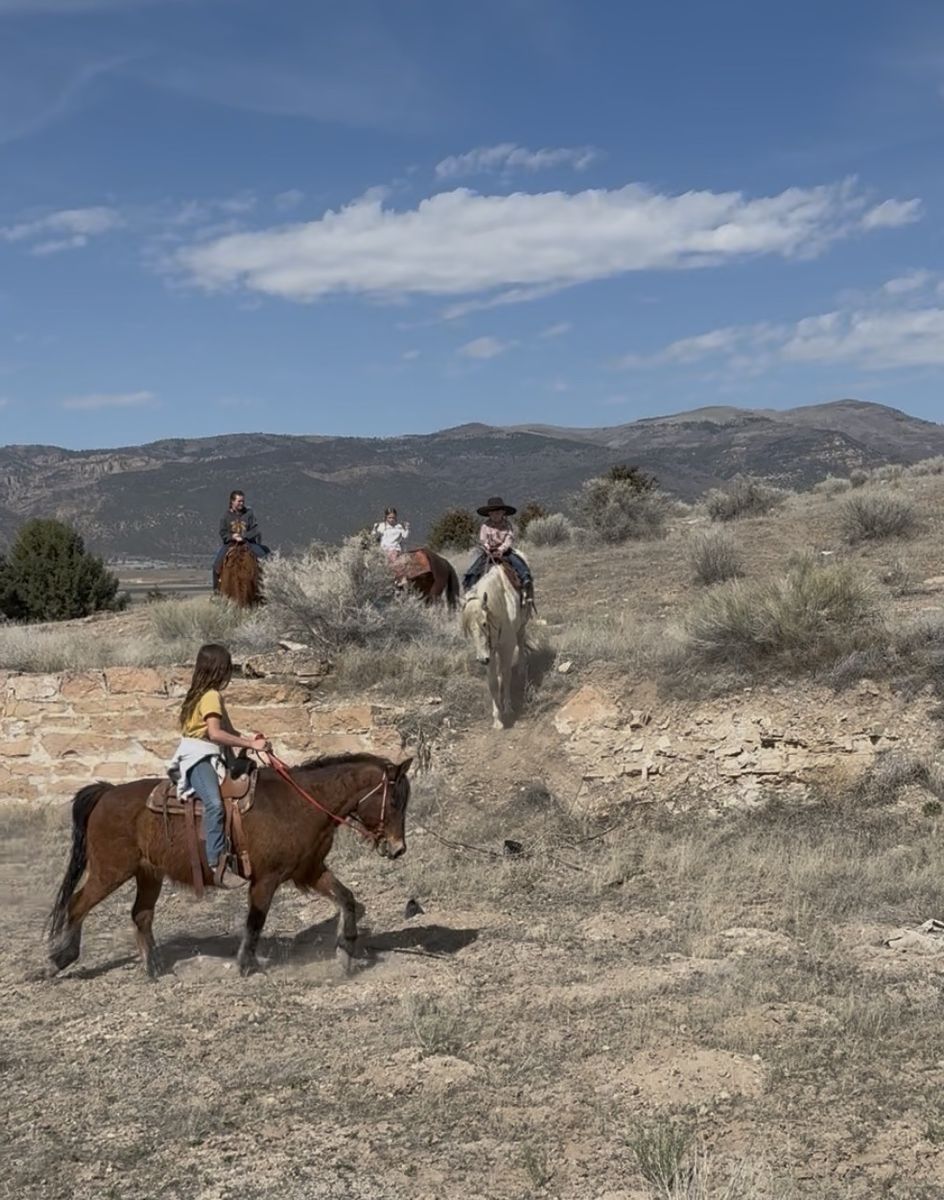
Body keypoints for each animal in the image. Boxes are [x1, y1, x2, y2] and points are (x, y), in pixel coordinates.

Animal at [45, 753, 412, 979]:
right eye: (394, 800)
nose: (398, 848)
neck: (298, 803)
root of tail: (106, 793)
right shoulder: (266, 879)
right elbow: (255, 921)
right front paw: (246, 964)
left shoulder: (309, 871)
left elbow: (346, 898)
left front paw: (347, 950)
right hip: (110, 871)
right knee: (77, 904)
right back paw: (60, 958)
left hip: (148, 874)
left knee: (141, 915)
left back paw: (155, 967)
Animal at [460, 563, 531, 729]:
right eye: (469, 629)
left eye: (484, 623)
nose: (481, 659)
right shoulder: (490, 652)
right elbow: (492, 682)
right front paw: (497, 718)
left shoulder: (507, 647)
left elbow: (506, 675)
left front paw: (508, 709)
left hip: (521, 627)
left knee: (521, 642)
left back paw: (521, 669)